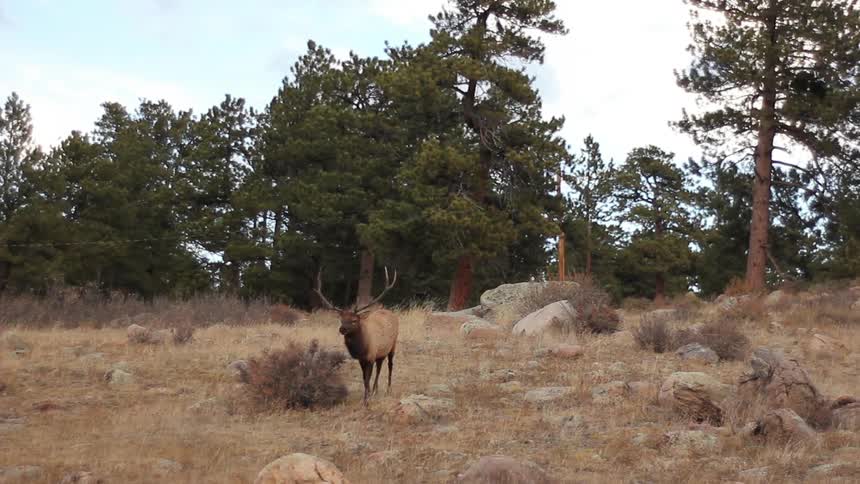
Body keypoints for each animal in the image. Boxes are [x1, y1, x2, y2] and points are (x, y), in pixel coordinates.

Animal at [315, 267, 399, 406]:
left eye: (354, 320)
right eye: (341, 319)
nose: (342, 329)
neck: (362, 348)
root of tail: (390, 313)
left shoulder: (370, 356)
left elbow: (367, 378)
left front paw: (366, 401)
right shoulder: (362, 359)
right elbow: (364, 378)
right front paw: (368, 395)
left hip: (393, 344)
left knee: (390, 365)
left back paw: (388, 389)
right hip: (381, 353)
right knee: (379, 367)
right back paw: (375, 390)